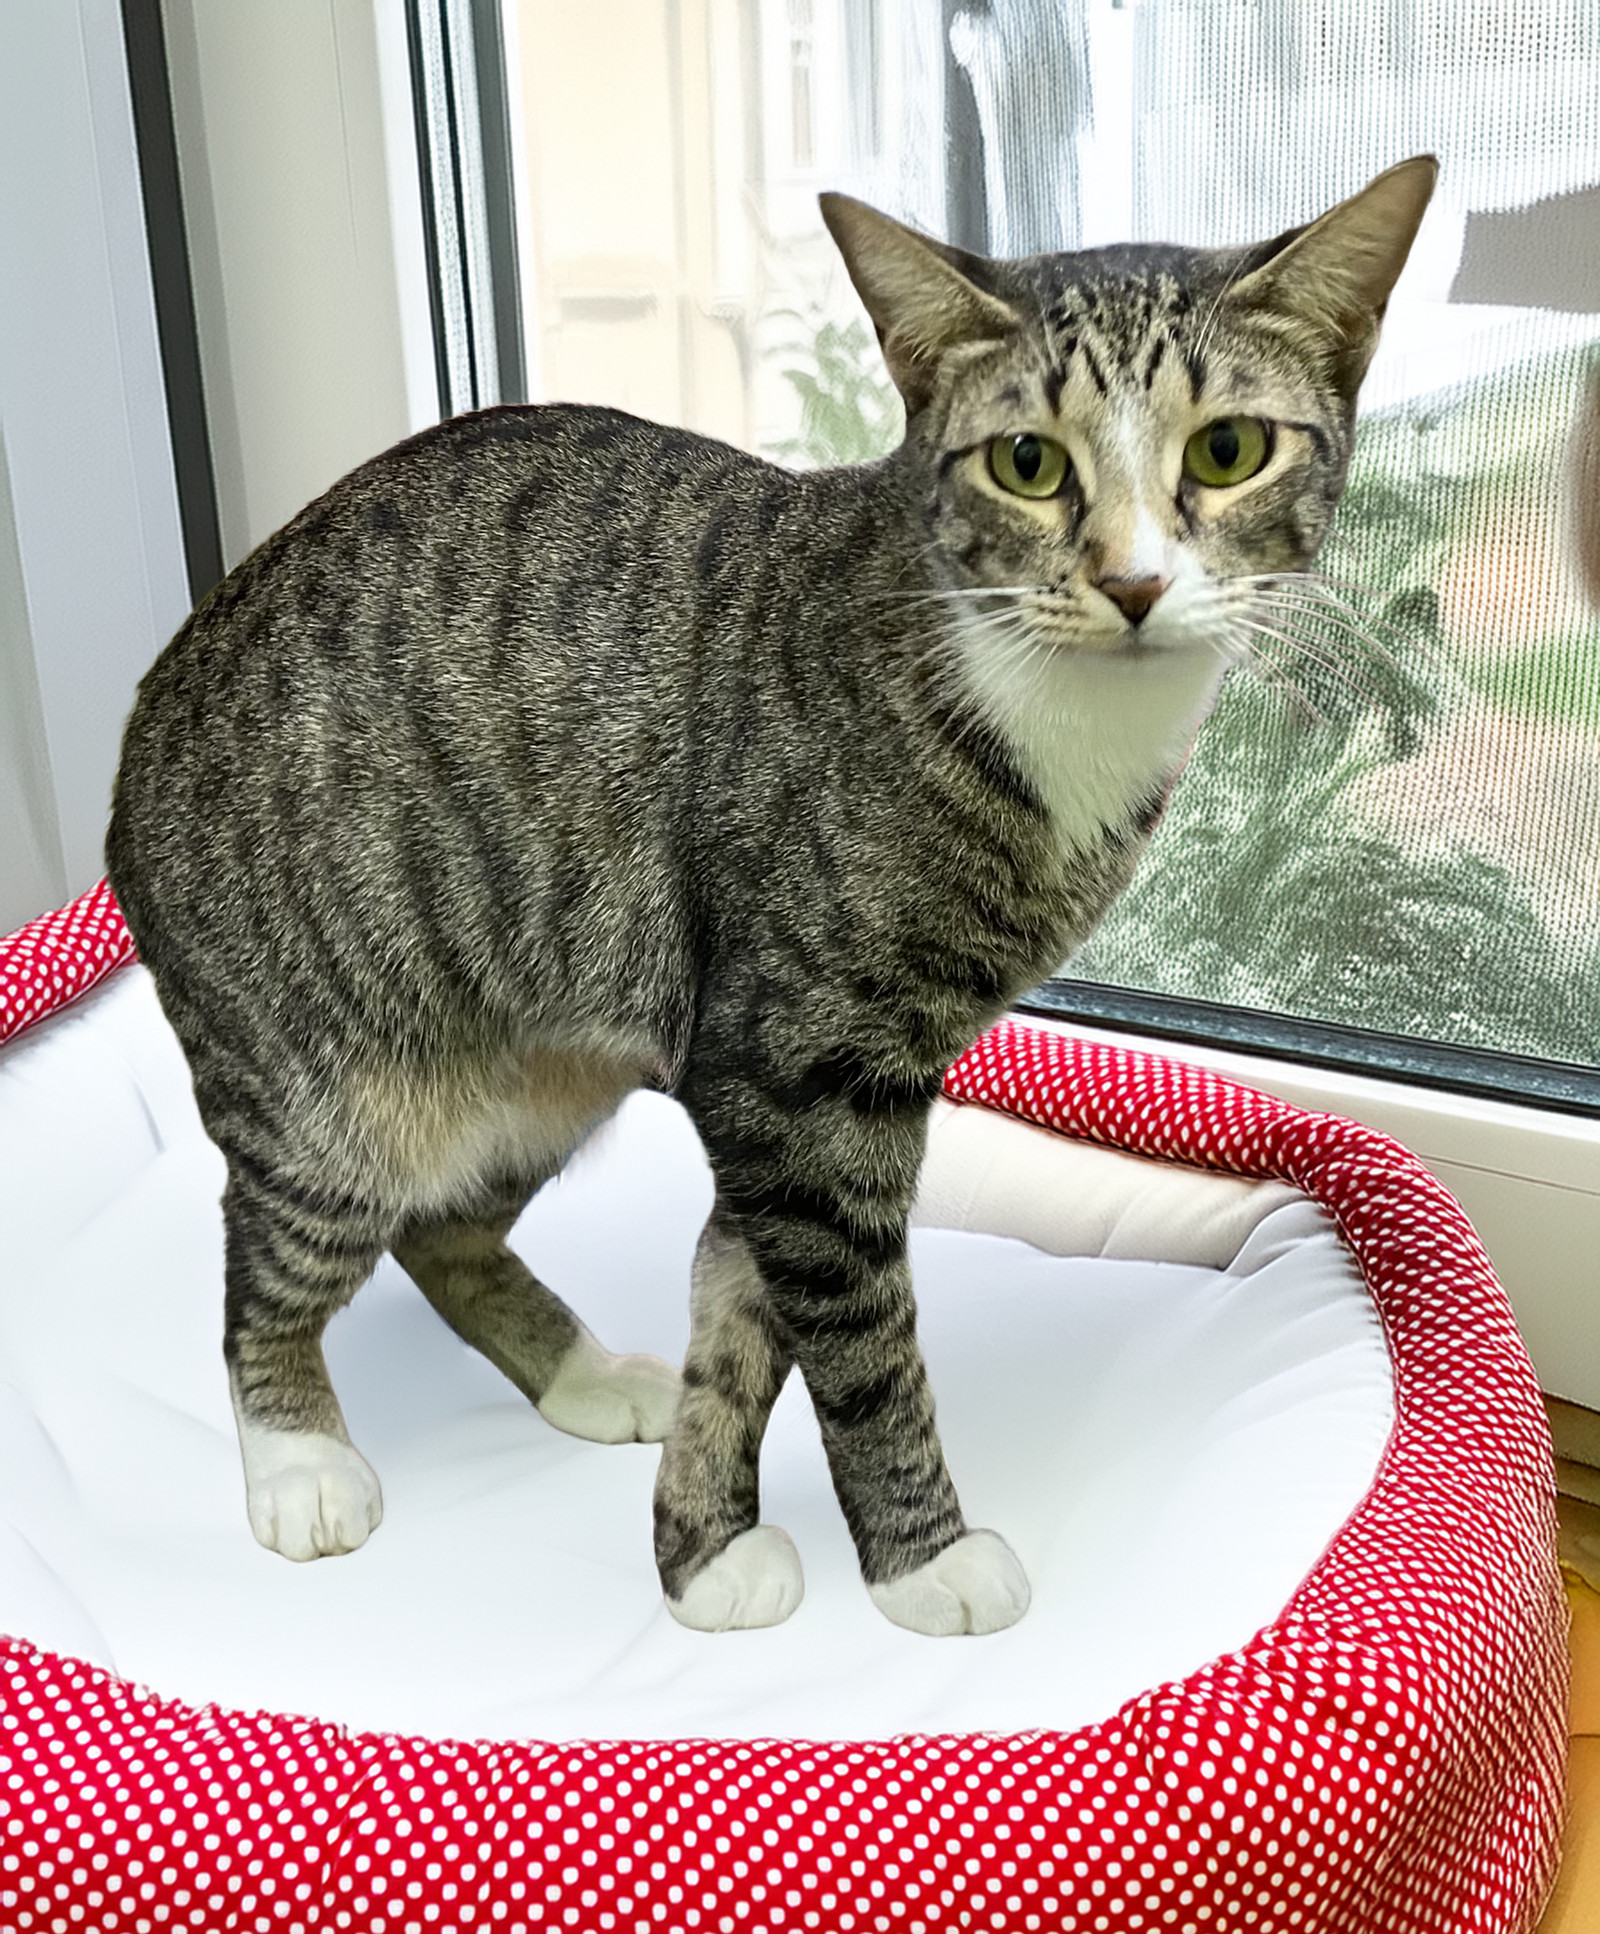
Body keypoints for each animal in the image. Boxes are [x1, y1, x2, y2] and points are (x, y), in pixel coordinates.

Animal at [112, 158, 1439, 1632]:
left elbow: (743, 1308)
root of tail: (151, 701)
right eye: (1028, 463)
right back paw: (297, 1452)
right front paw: (918, 1554)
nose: (1135, 580)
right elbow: (854, 1333)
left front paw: (698, 1541)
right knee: (264, 1263)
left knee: (443, 1230)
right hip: (333, 1093)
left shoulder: (805, 1079)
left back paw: (580, 1371)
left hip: (544, 1075)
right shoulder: (791, 1063)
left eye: (1227, 450)